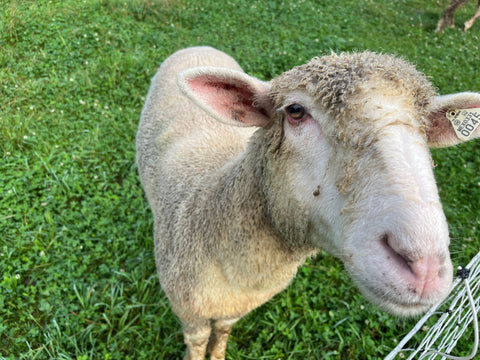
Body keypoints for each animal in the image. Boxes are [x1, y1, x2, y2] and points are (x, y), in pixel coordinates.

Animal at [134, 46, 480, 358]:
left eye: (426, 128)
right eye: (295, 111)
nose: (423, 265)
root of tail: (197, 48)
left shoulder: (233, 311)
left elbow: (222, 333)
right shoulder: (190, 317)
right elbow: (197, 343)